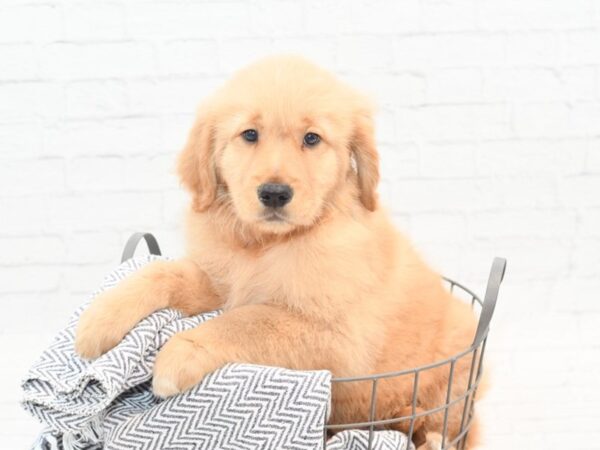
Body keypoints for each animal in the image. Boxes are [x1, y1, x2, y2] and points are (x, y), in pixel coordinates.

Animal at [77, 54, 482, 448]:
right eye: (250, 134)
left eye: (312, 138)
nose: (274, 193)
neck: (267, 244)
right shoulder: (223, 281)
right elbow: (163, 272)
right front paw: (100, 318)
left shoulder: (337, 339)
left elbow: (249, 320)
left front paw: (182, 350)